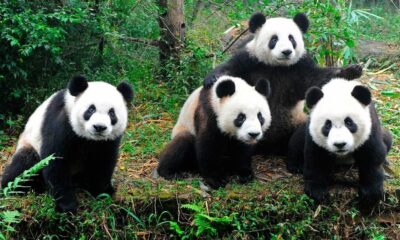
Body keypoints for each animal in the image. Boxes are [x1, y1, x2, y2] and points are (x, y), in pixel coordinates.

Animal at [0, 75, 134, 212]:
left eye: (112, 113)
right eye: (91, 109)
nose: (99, 127)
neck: (89, 138)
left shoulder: (108, 141)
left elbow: (103, 161)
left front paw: (103, 192)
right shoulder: (62, 121)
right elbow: (56, 160)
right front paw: (67, 205)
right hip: (29, 143)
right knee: (24, 164)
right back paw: (21, 189)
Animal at [203, 12, 362, 156]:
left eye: (292, 38)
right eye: (274, 39)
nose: (286, 52)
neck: (277, 66)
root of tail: (270, 146)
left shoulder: (299, 66)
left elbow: (317, 80)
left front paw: (351, 70)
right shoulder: (250, 60)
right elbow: (231, 69)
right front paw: (212, 78)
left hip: (296, 120)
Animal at [286, 78, 392, 211]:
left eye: (349, 122)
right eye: (327, 125)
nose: (340, 144)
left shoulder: (370, 126)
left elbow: (372, 155)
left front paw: (370, 195)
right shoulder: (313, 133)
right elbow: (316, 157)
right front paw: (317, 191)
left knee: (387, 139)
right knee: (297, 141)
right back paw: (296, 165)